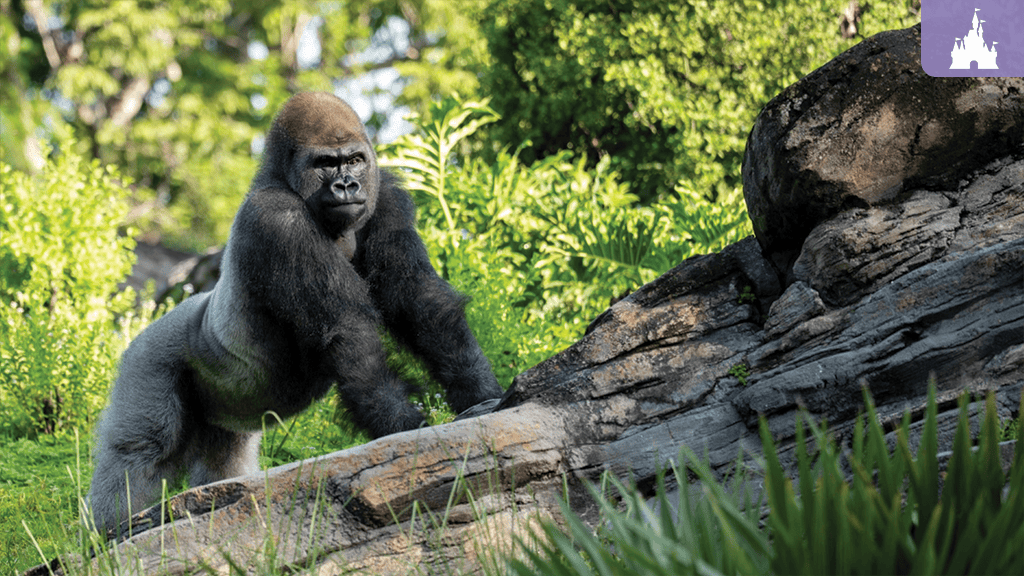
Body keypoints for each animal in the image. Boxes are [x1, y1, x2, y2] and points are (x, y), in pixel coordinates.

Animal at [86, 92, 503, 532]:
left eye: (355, 160)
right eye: (325, 164)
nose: (347, 185)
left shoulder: (387, 196)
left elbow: (419, 298)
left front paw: (481, 392)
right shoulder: (277, 219)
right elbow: (349, 330)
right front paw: (402, 425)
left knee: (224, 462)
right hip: (147, 359)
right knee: (143, 449)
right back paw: (111, 530)